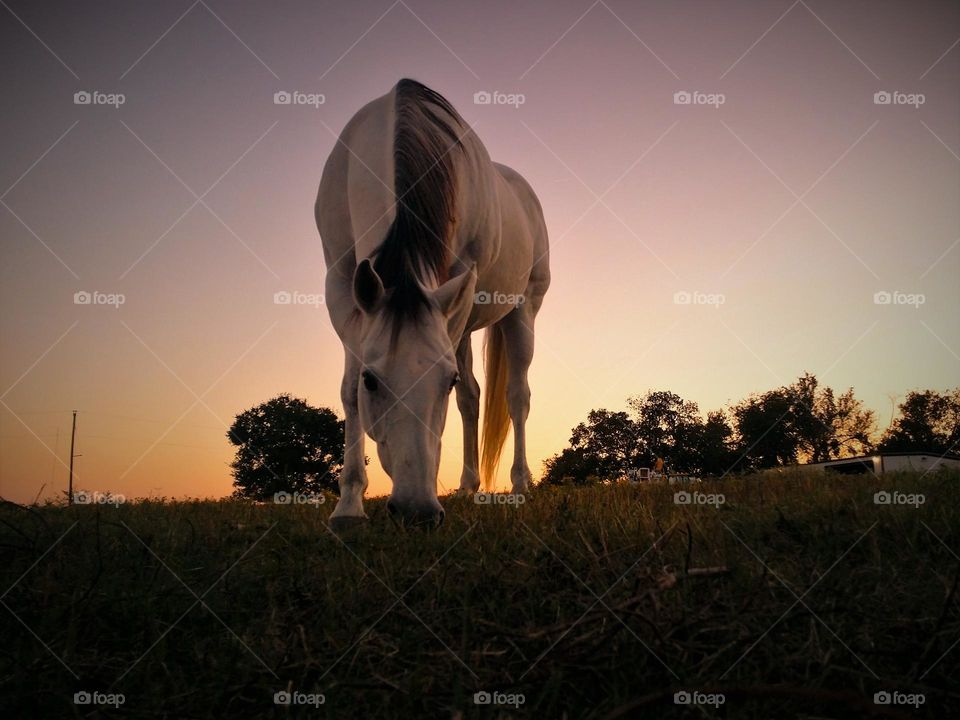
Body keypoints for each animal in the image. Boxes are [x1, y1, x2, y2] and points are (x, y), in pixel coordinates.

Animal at [315, 79, 550, 528]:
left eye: (445, 381)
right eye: (373, 380)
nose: (417, 511)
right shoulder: (341, 288)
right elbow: (349, 392)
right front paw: (348, 505)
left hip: (522, 310)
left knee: (517, 396)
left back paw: (520, 484)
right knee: (474, 398)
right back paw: (468, 485)